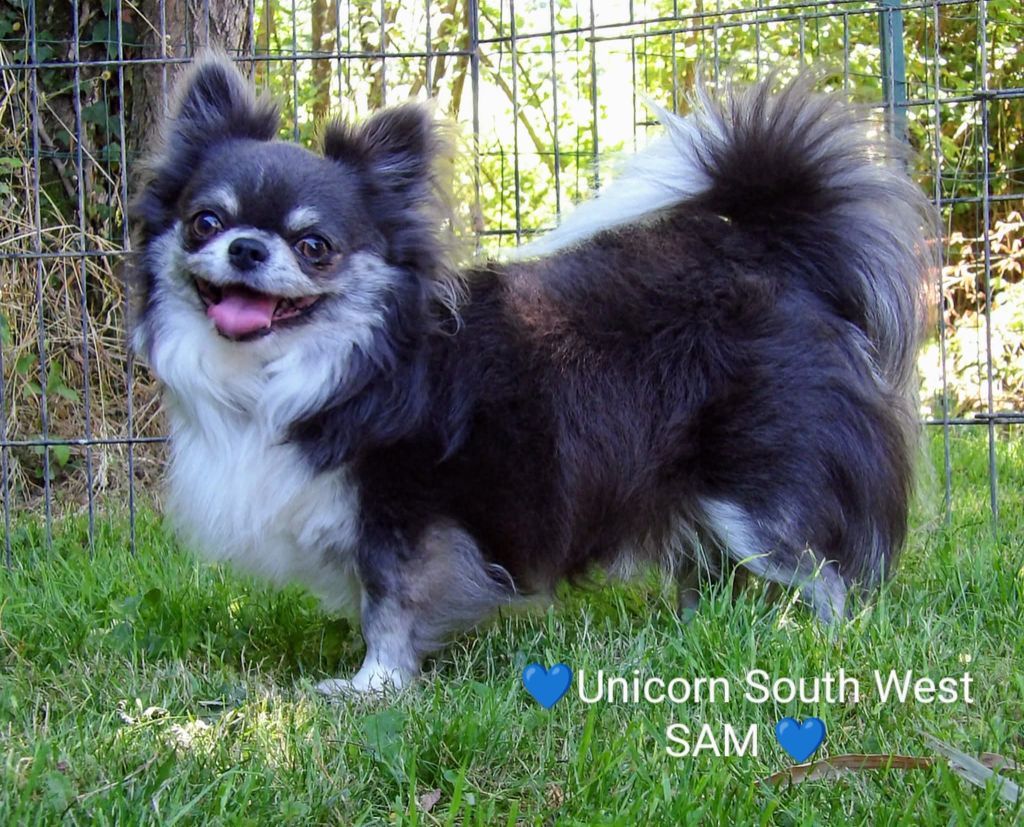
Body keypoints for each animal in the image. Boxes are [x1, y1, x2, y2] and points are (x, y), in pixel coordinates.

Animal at [128, 53, 935, 694]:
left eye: (314, 246)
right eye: (204, 222)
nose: (246, 248)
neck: (328, 363)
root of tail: (779, 255)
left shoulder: (403, 509)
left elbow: (390, 602)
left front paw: (373, 686)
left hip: (759, 487)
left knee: (823, 569)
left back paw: (821, 644)